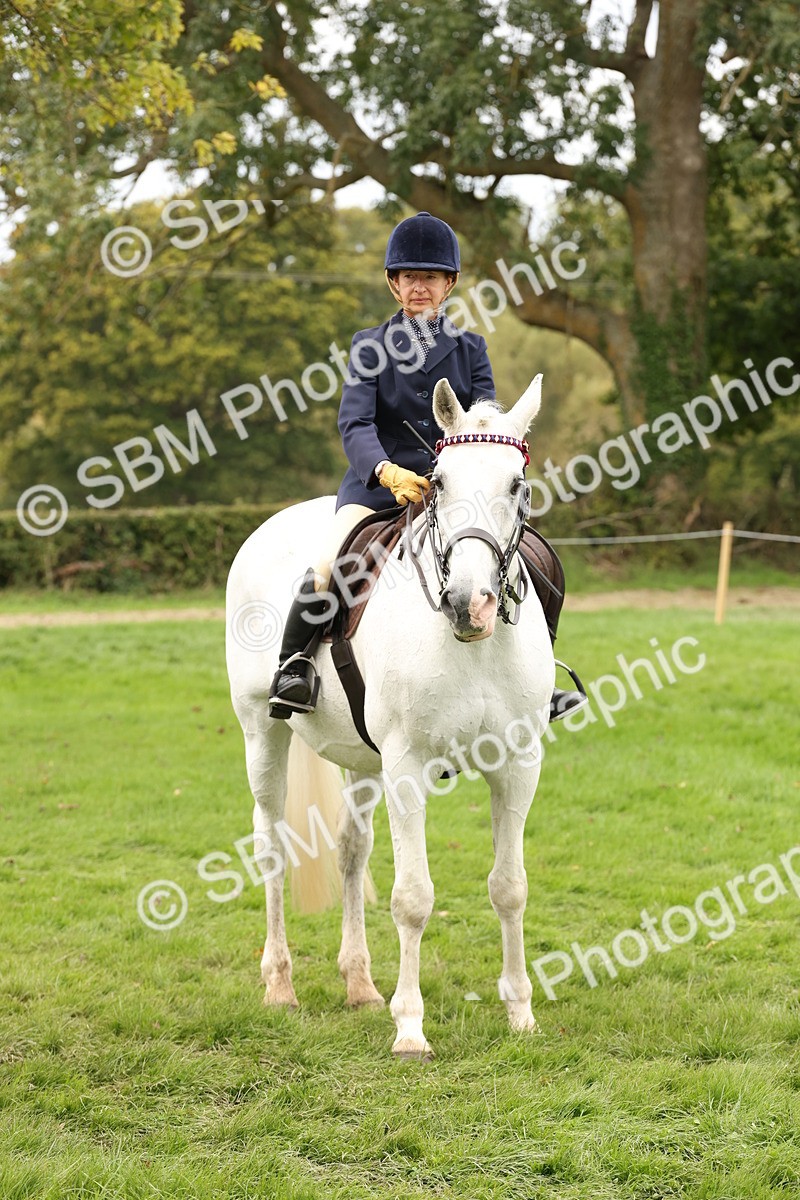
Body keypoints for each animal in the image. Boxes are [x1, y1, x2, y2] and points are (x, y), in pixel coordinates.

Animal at [225, 374, 554, 1058]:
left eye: (516, 484)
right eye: (439, 481)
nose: (470, 604)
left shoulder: (518, 765)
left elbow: (509, 887)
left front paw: (520, 1012)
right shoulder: (407, 766)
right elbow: (413, 898)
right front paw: (410, 1028)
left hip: (361, 759)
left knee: (352, 851)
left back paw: (359, 985)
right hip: (261, 733)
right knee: (271, 845)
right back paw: (280, 986)